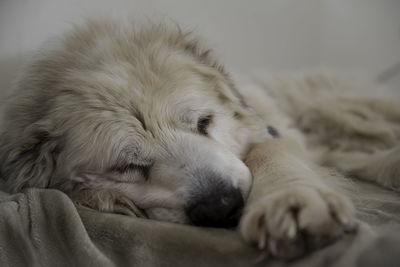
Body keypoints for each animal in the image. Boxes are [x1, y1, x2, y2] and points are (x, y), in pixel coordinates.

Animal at [0, 19, 400, 260]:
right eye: (129, 166)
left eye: (204, 122)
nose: (221, 206)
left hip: (339, 110)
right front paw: (108, 199)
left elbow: (270, 151)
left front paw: (291, 200)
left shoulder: (272, 130)